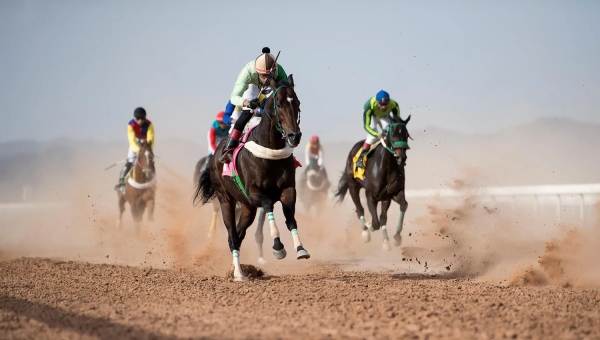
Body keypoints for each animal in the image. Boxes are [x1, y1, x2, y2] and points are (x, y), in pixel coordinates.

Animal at [196, 75, 312, 282]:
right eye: (279, 104)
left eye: (297, 103)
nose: (294, 136)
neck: (270, 151)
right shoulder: (254, 193)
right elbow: (268, 204)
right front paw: (278, 247)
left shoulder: (288, 190)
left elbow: (291, 219)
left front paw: (300, 249)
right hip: (226, 200)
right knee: (232, 237)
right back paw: (238, 274)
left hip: (247, 208)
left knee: (239, 235)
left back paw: (239, 269)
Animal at [336, 115, 410, 251]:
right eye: (393, 134)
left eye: (406, 134)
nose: (401, 158)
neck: (386, 167)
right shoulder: (370, 195)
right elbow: (376, 223)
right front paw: (369, 226)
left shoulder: (390, 194)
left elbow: (398, 209)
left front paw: (394, 238)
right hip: (353, 186)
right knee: (360, 209)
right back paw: (365, 232)